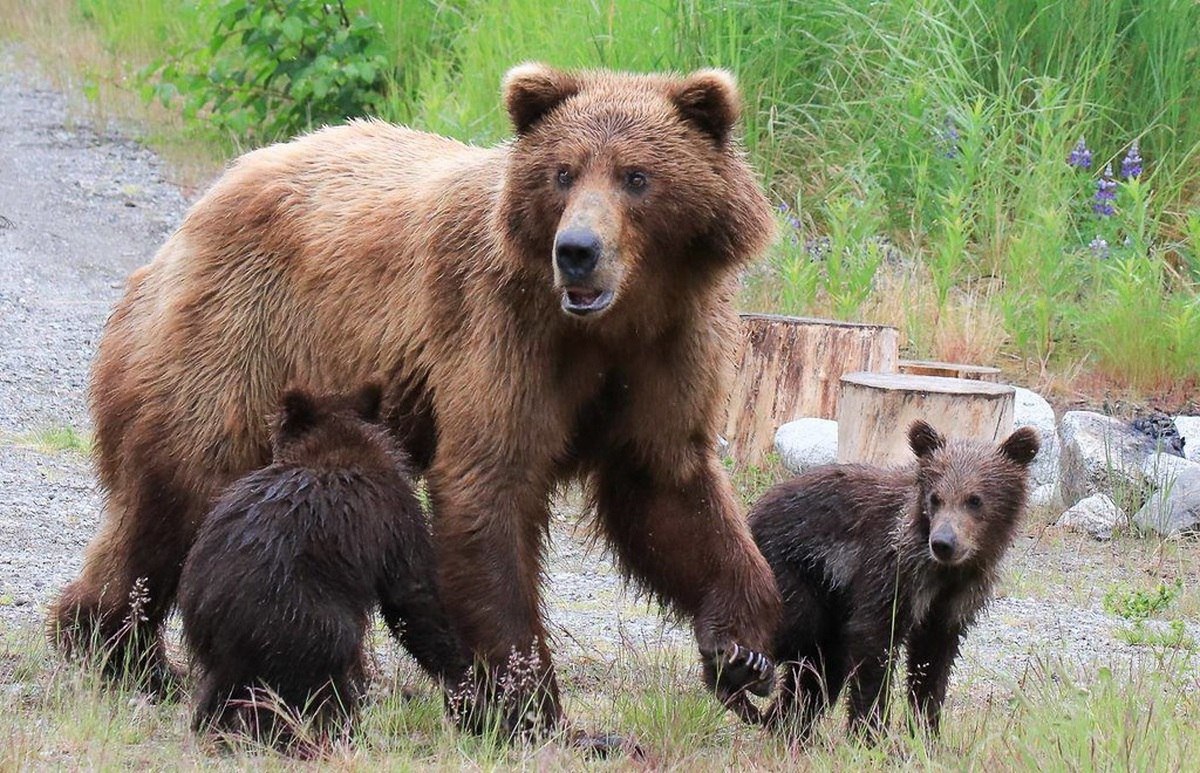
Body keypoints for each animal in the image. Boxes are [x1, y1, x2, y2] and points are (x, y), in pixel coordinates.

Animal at [49, 64, 777, 729]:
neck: (611, 322)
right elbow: (490, 486)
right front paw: (527, 703)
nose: (577, 250)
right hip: (239, 333)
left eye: (636, 175)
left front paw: (742, 652)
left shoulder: (667, 351)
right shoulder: (502, 330)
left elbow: (666, 488)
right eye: (564, 173)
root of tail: (202, 206)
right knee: (179, 487)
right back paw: (124, 652)